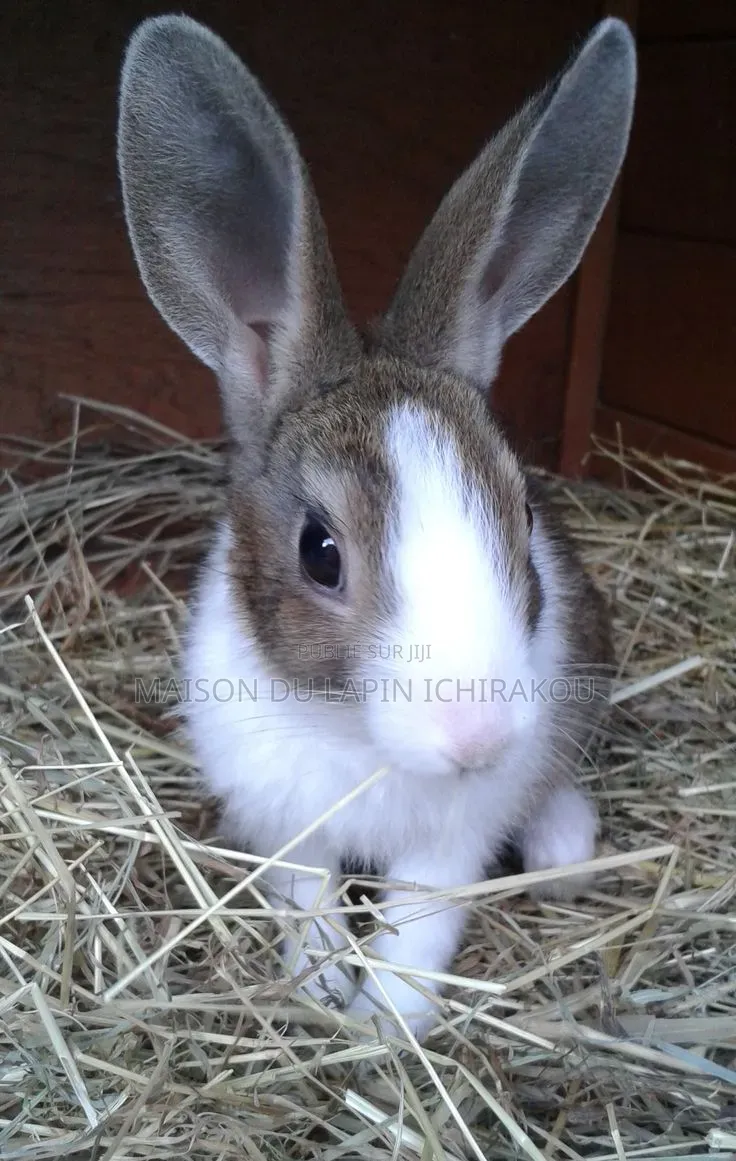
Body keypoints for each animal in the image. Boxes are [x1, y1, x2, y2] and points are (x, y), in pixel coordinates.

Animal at [117, 13, 634, 1041]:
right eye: (320, 553)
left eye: (525, 515)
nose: (477, 739)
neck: (361, 743)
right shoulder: (289, 832)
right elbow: (312, 907)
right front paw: (321, 993)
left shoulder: (449, 844)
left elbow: (415, 927)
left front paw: (386, 1024)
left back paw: (562, 848)